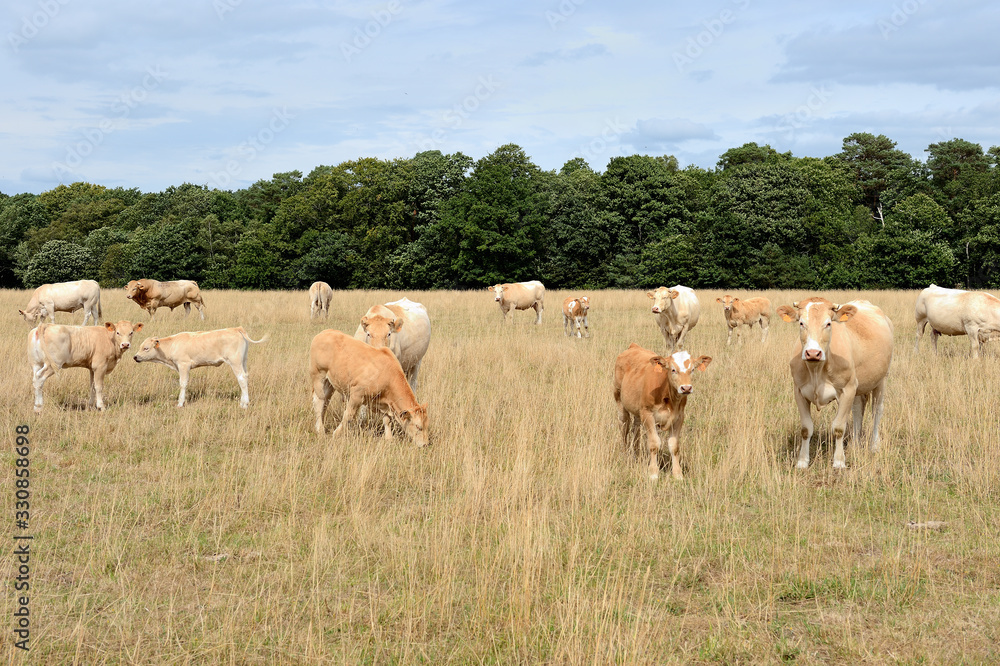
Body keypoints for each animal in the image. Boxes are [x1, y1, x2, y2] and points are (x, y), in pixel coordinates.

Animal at [133, 326, 268, 404]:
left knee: (241, 378)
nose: (135, 357)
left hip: (235, 362)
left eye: (146, 348)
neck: (172, 345)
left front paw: (180, 403)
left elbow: (183, 384)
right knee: (246, 377)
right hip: (243, 361)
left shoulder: (184, 365)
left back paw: (244, 404)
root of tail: (236, 328)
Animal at [608, 342, 712, 478]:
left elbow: (674, 446)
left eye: (692, 370)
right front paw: (653, 473)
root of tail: (634, 346)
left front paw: (678, 474)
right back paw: (626, 454)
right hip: (620, 401)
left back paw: (636, 454)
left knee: (636, 429)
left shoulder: (679, 417)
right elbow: (654, 444)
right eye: (673, 369)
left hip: (638, 410)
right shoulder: (648, 414)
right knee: (624, 427)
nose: (686, 388)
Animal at [776, 298, 896, 470]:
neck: (817, 370)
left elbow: (839, 427)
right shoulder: (799, 391)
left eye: (828, 323)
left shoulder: (847, 389)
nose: (813, 353)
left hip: (881, 380)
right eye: (801, 323)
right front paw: (802, 461)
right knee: (858, 409)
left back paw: (874, 445)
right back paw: (855, 444)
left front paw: (839, 461)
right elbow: (806, 428)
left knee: (876, 411)